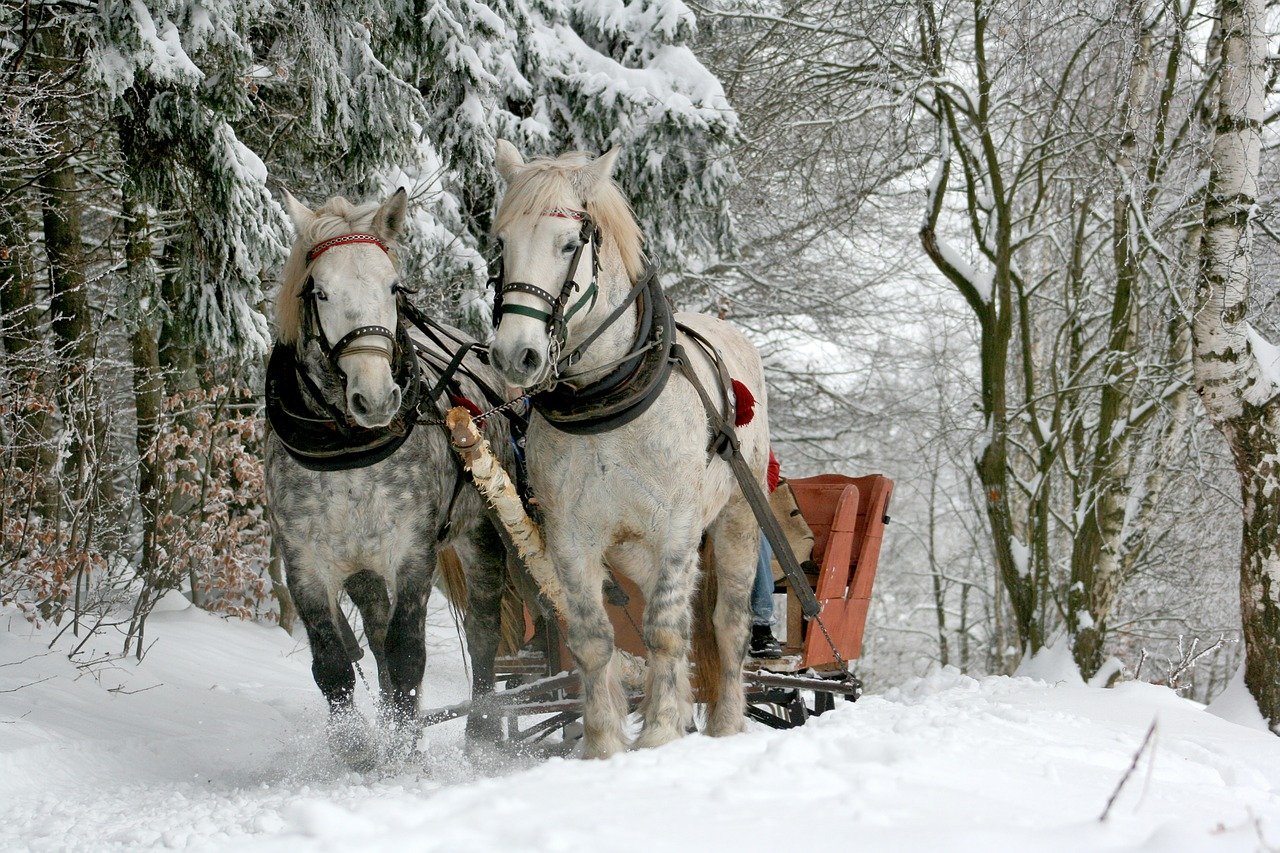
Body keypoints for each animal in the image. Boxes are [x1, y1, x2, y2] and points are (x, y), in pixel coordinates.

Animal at [486, 140, 768, 758]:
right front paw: (604, 745)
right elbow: (595, 638)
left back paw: (726, 723)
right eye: (501, 243)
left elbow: (664, 629)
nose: (515, 355)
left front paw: (659, 733)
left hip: (736, 517)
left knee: (725, 622)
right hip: (634, 548)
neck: (607, 399)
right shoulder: (571, 536)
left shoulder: (678, 527)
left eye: (569, 244)